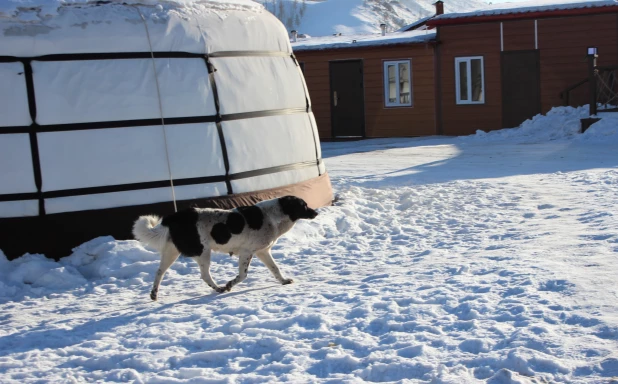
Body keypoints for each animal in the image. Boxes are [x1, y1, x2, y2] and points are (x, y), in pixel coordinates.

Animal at [134, 198, 318, 300]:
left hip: (171, 252)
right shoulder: (247, 252)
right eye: (303, 205)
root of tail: (174, 217)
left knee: (159, 272)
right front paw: (230, 284)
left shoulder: (262, 252)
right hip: (203, 252)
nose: (315, 212)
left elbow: (275, 269)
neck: (274, 215)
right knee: (205, 275)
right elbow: (243, 275)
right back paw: (219, 288)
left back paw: (154, 294)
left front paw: (284, 281)